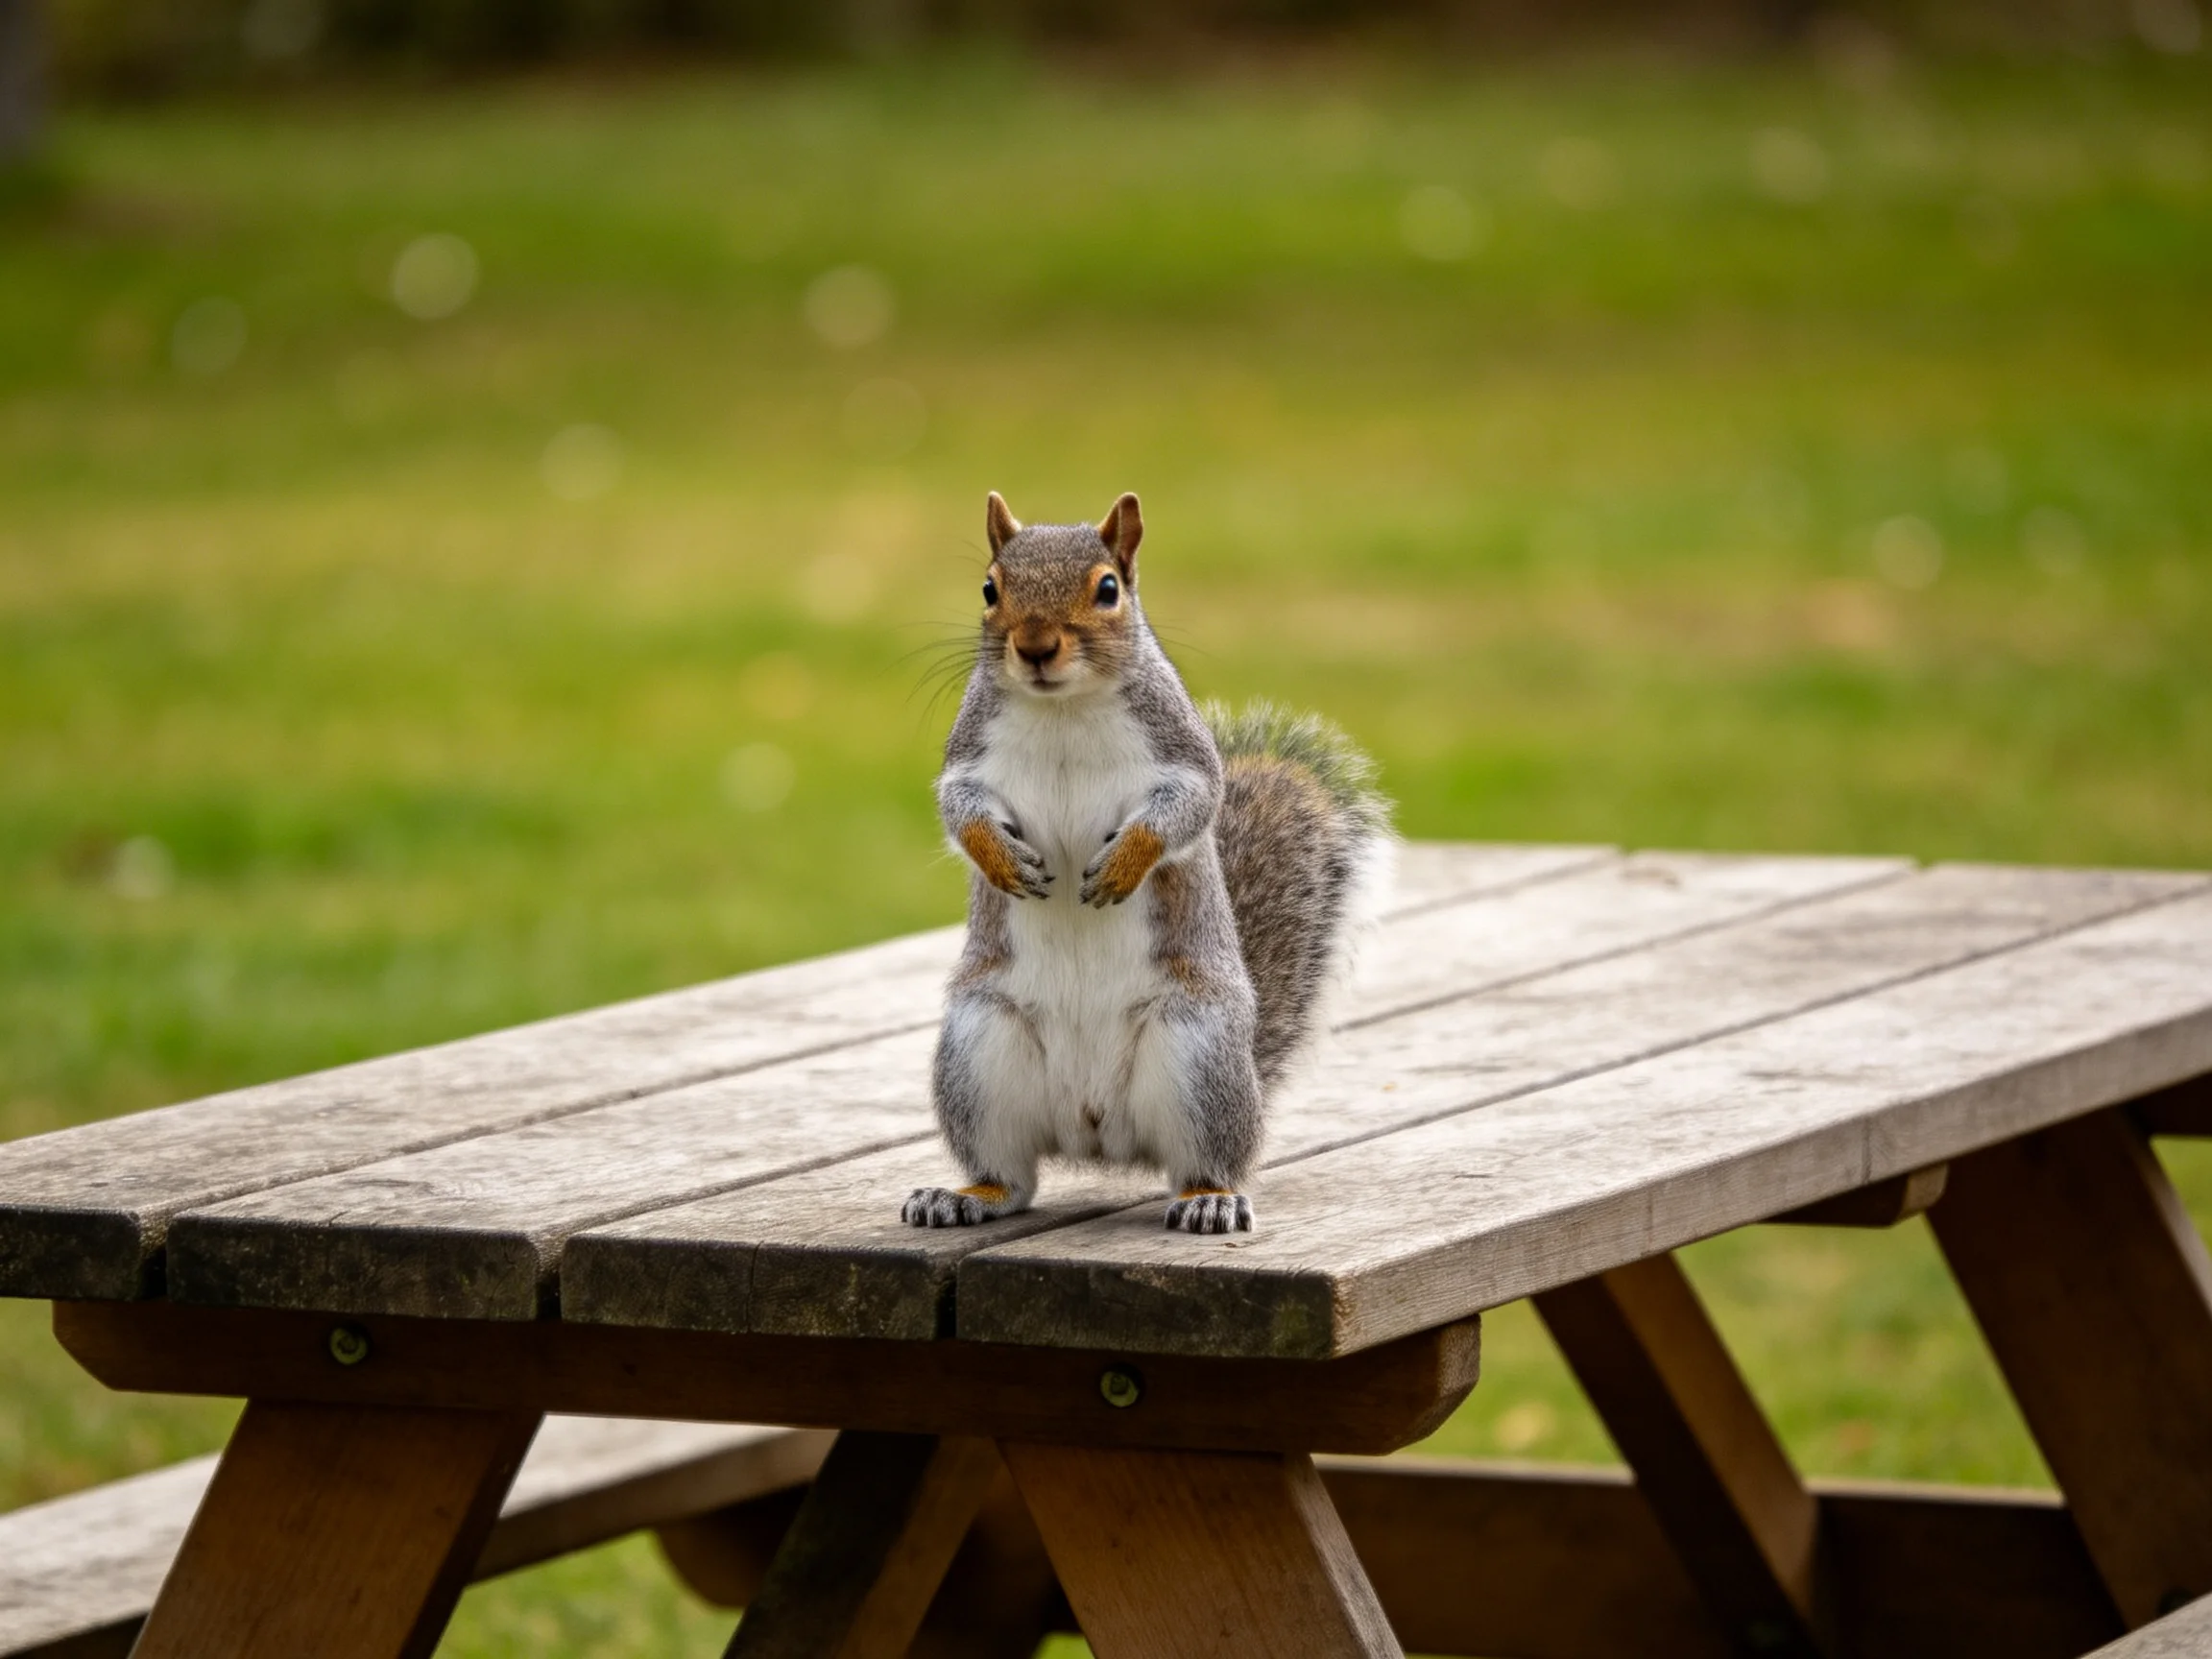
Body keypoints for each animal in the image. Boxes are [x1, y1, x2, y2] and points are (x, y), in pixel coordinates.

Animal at [902, 491, 1393, 1236]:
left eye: (1108, 589)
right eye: (990, 588)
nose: (1035, 647)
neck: (1064, 708)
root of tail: (1095, 1132)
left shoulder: (1182, 755)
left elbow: (1187, 808)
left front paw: (1124, 864)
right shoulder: (970, 758)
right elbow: (959, 810)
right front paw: (1001, 859)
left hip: (1198, 1055)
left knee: (1204, 1160)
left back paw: (1210, 1199)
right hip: (979, 1048)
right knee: (1012, 1176)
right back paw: (965, 1195)